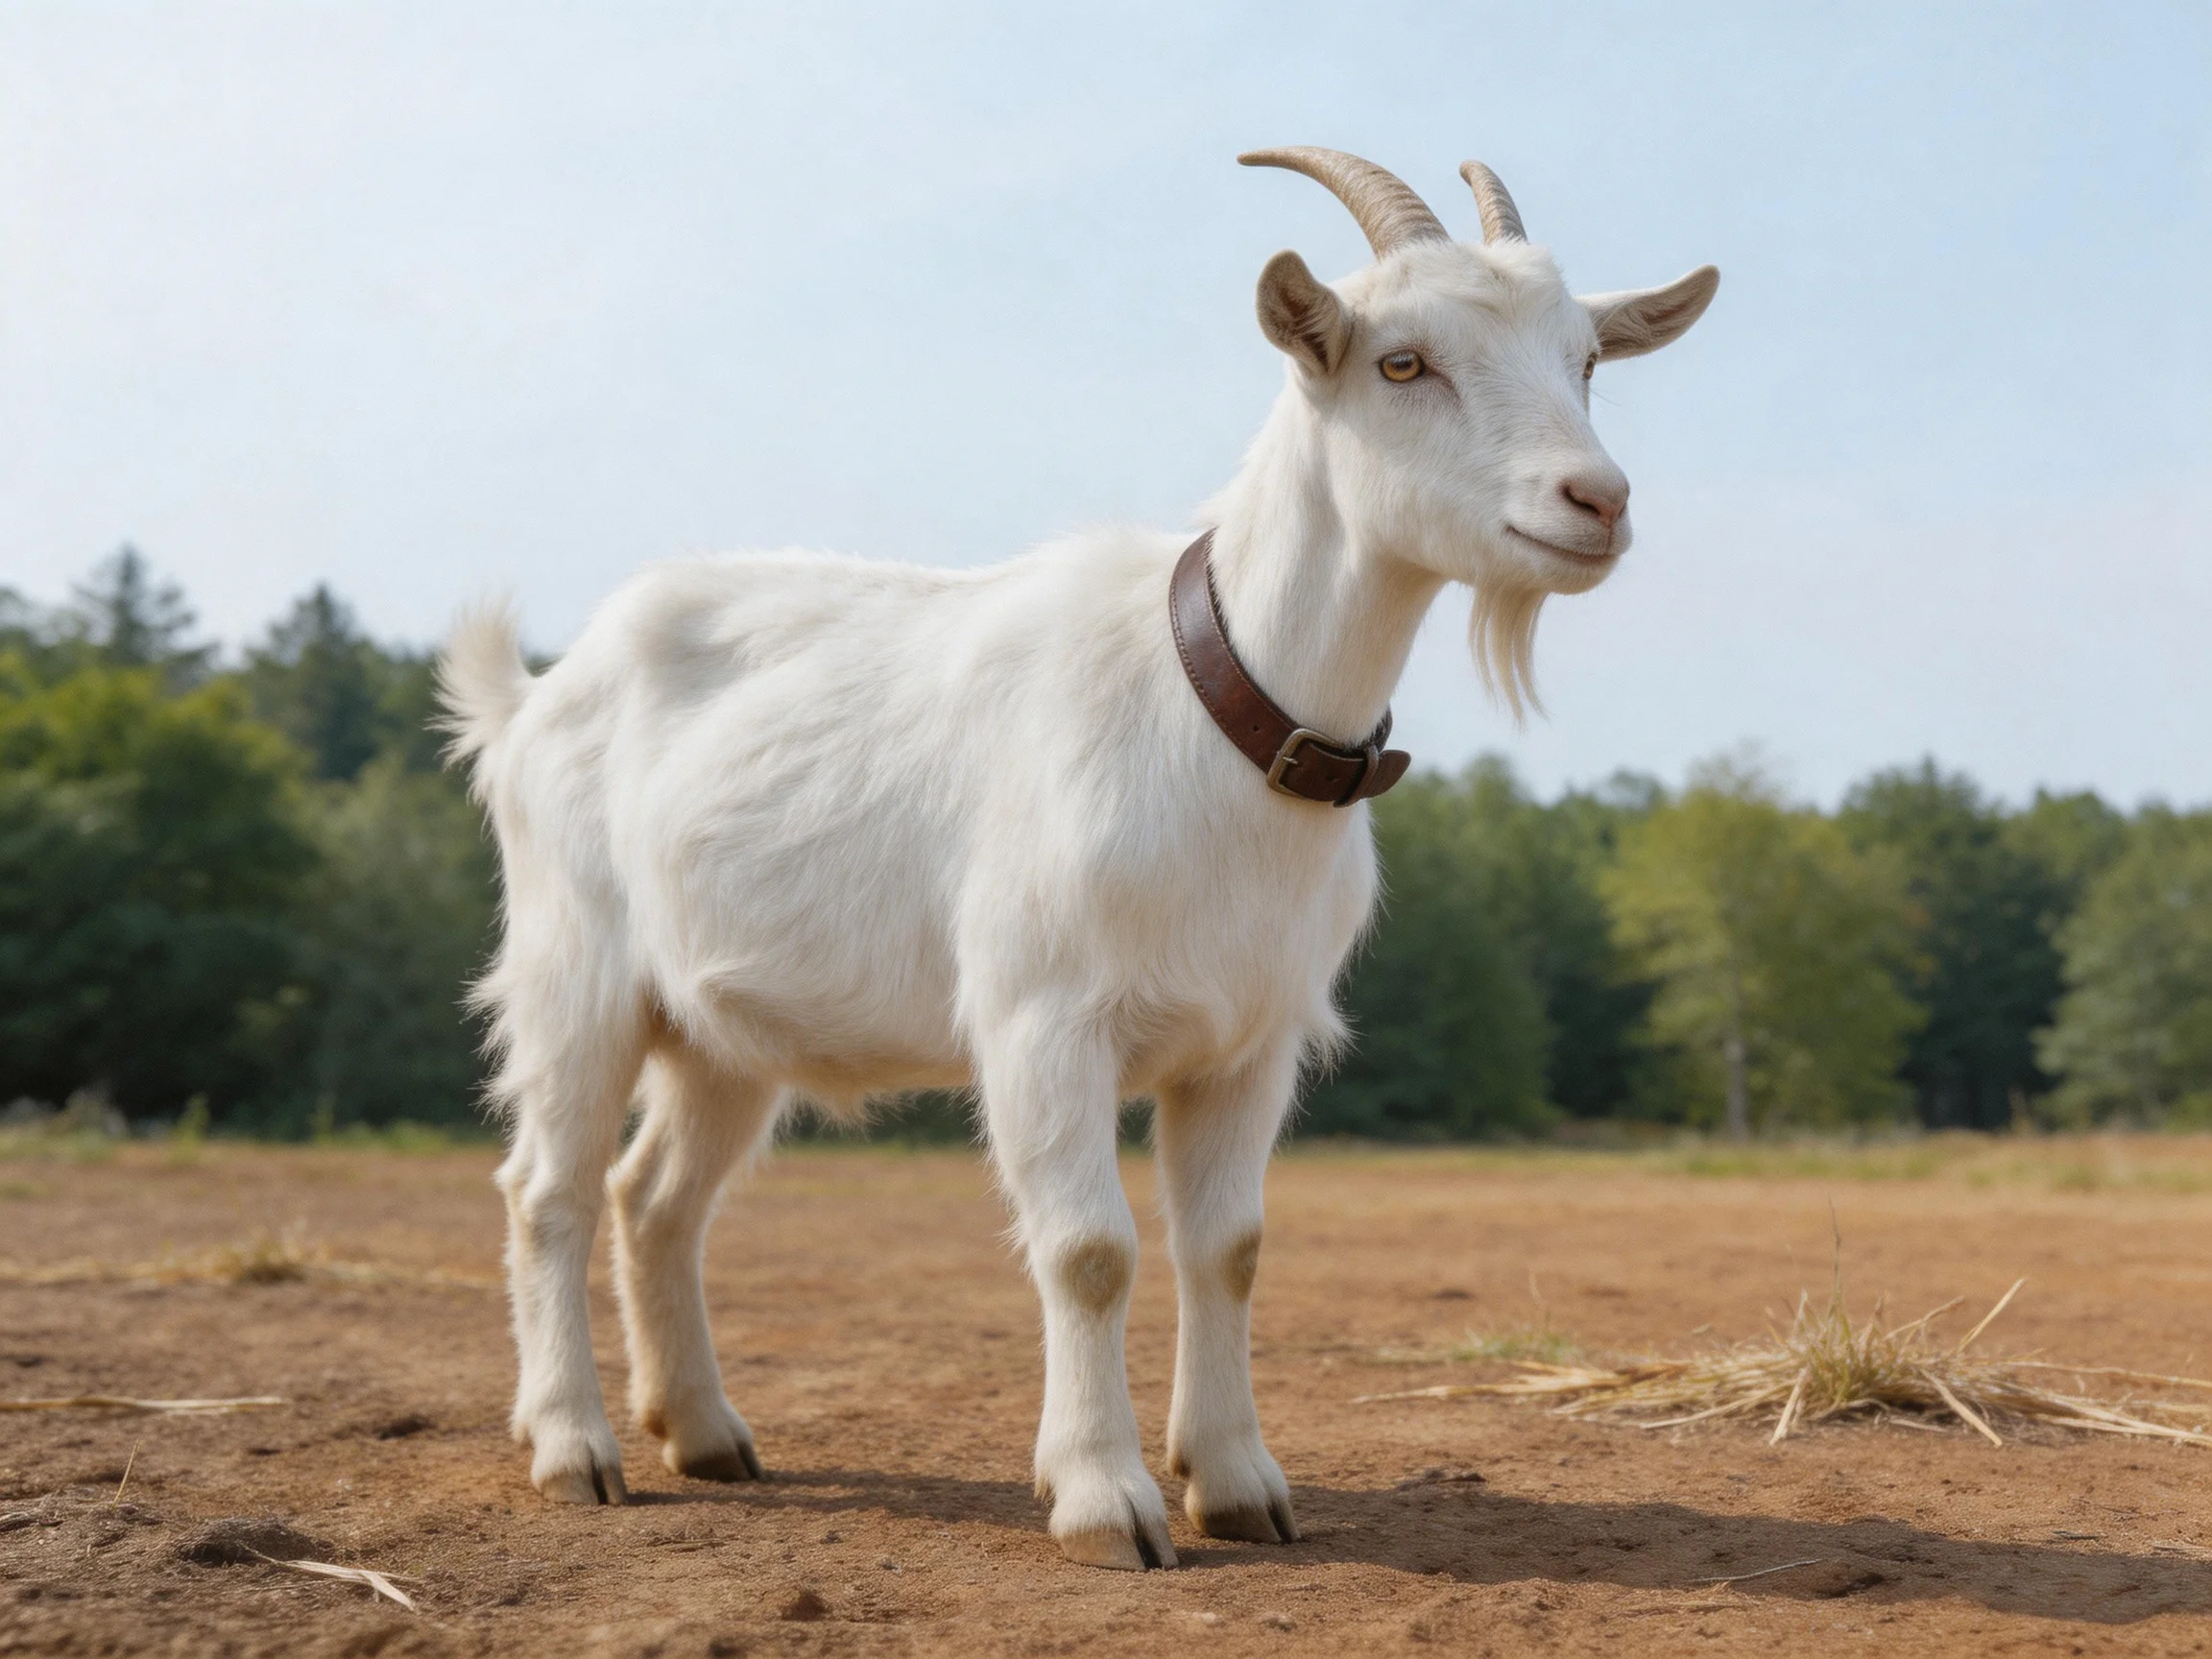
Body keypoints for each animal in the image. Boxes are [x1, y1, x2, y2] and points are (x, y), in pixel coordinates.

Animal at [439, 147, 1718, 1569]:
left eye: (1586, 359)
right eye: (1402, 361)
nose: (1595, 501)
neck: (1217, 709)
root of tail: (534, 697)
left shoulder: (1250, 1040)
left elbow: (1231, 1248)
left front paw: (1239, 1484)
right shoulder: (1044, 1016)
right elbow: (1091, 1251)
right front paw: (1108, 1500)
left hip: (719, 1030)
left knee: (655, 1196)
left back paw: (707, 1434)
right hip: (575, 971)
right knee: (545, 1188)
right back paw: (575, 1449)